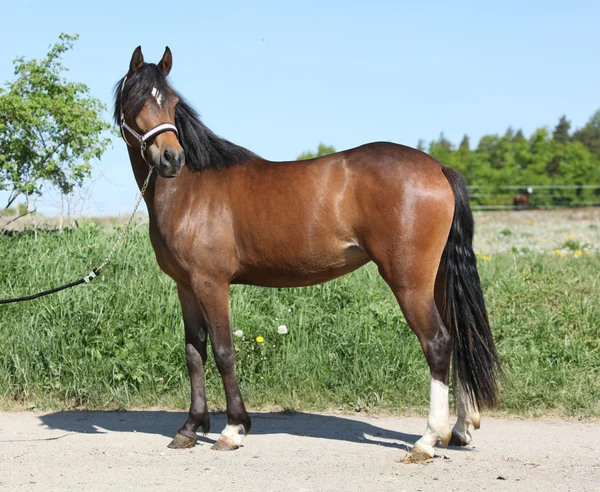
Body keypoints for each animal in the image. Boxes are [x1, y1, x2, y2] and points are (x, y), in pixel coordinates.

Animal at [115, 46, 500, 462]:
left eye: (172, 103)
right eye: (137, 100)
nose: (172, 158)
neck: (190, 190)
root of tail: (439, 168)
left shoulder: (211, 283)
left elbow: (223, 351)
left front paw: (233, 429)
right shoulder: (186, 286)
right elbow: (194, 353)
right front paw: (189, 427)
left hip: (410, 282)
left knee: (439, 343)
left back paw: (427, 440)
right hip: (438, 280)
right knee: (459, 338)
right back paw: (460, 429)